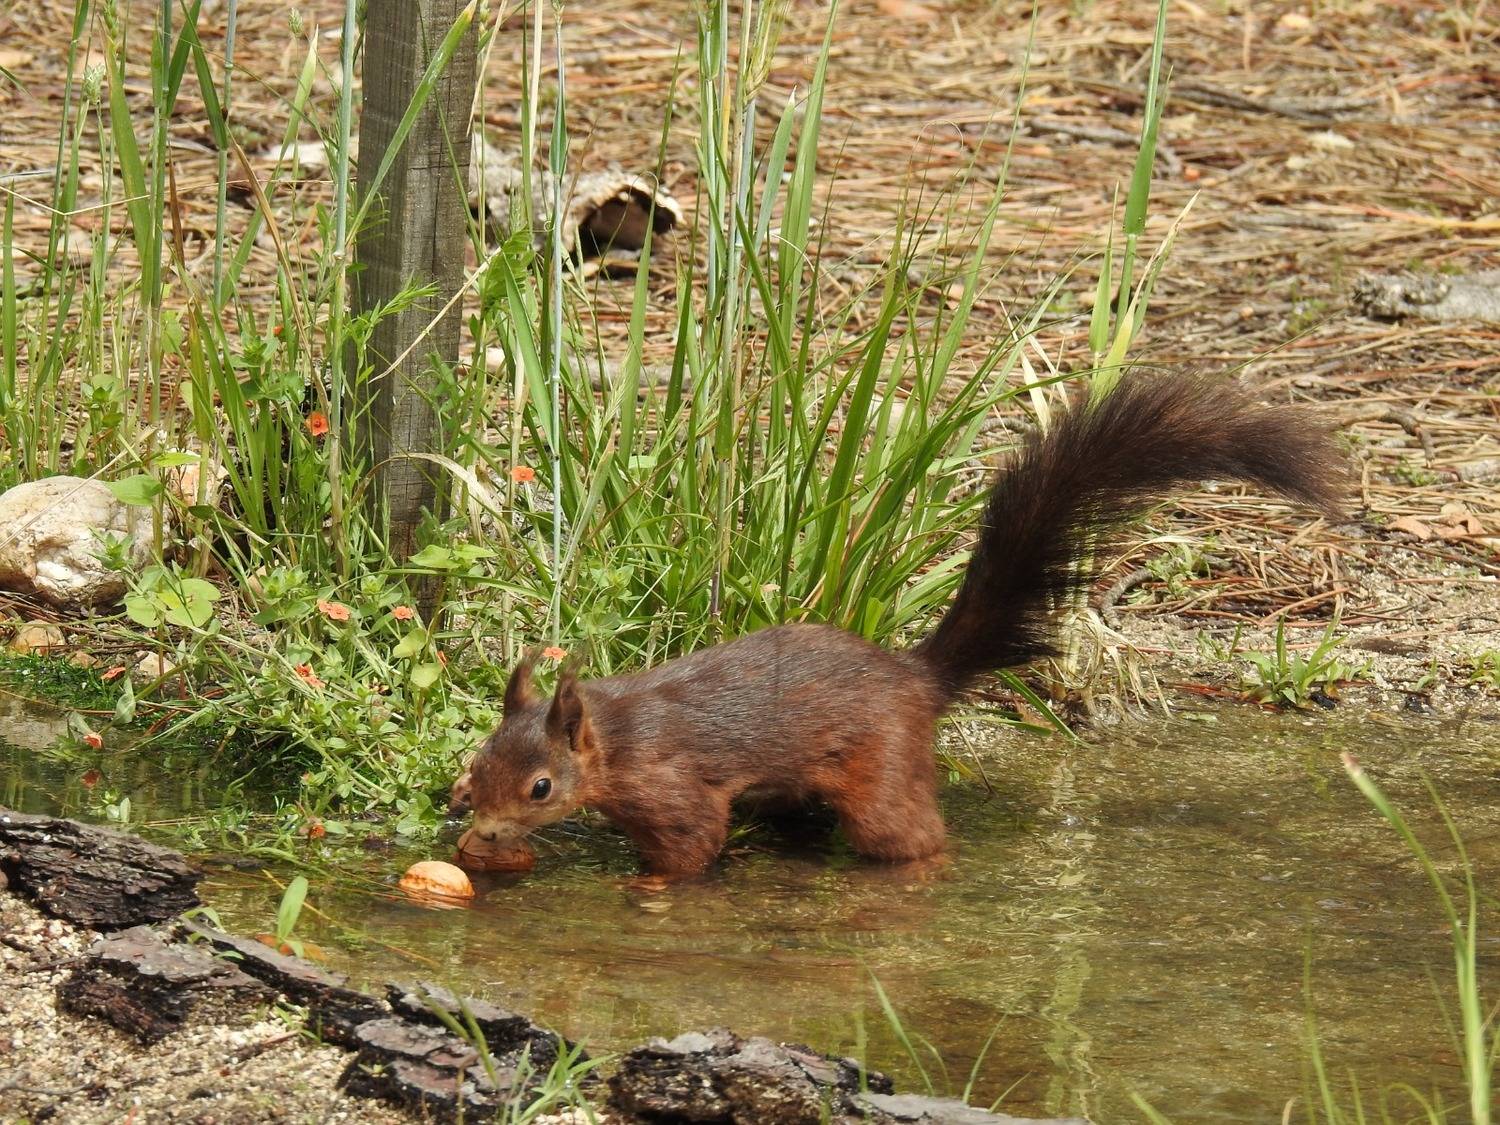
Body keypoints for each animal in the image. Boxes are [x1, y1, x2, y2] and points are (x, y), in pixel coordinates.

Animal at [448, 372, 1345, 878]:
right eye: (476, 759)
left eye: (540, 786)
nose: (479, 821)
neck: (618, 733)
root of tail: (917, 679)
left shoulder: (673, 786)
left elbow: (692, 845)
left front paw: (651, 887)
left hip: (879, 769)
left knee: (910, 834)